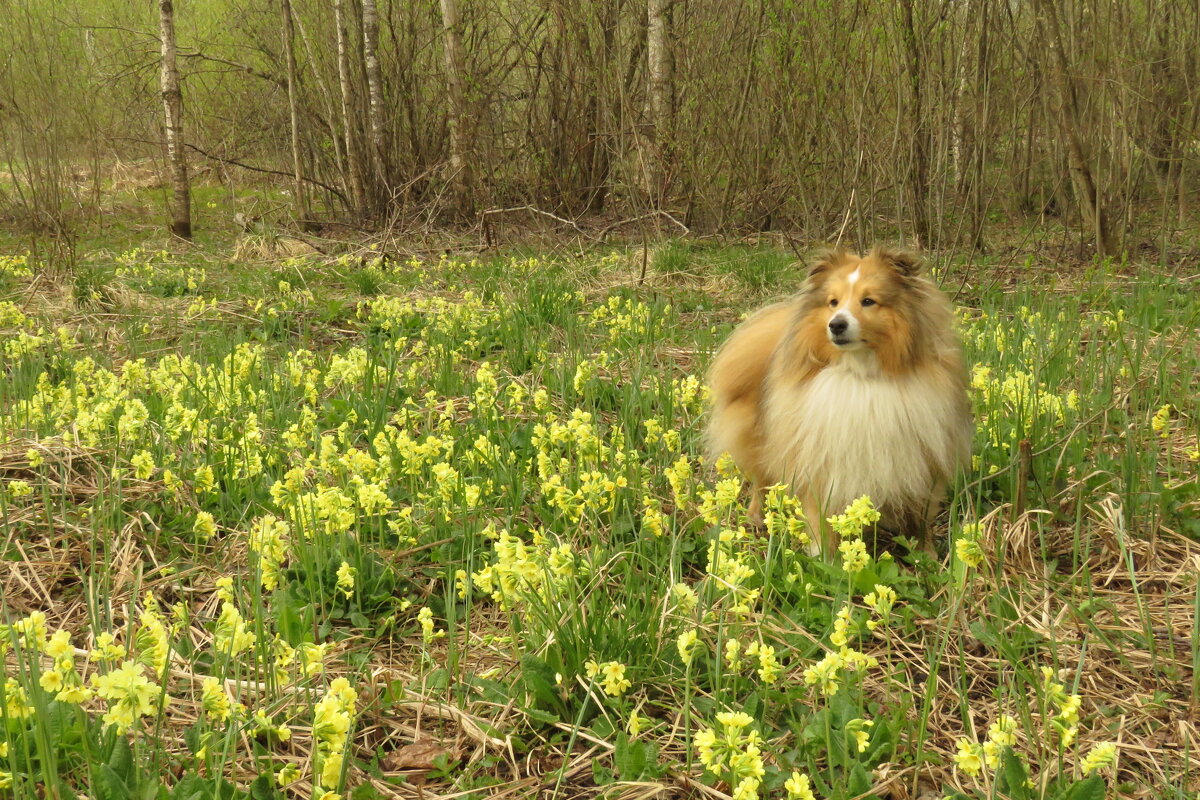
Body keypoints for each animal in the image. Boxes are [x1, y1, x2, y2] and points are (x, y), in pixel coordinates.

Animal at [705, 247, 969, 554]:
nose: (836, 325)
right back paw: (757, 517)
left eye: (868, 301)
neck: (861, 376)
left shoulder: (922, 462)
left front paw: (927, 556)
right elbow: (821, 521)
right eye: (833, 302)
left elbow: (921, 519)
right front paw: (823, 557)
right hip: (761, 442)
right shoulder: (820, 464)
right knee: (761, 481)